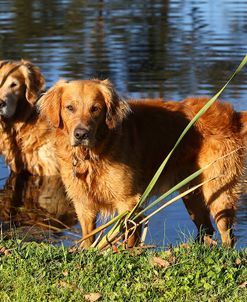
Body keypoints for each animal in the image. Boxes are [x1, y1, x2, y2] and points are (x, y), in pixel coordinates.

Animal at [39, 79, 247, 247]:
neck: (94, 153)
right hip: (191, 193)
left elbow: (130, 239)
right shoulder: (83, 204)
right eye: (69, 107)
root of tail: (234, 115)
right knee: (206, 229)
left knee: (227, 236)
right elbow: (88, 238)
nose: (81, 134)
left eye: (95, 108)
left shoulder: (129, 202)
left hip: (218, 190)